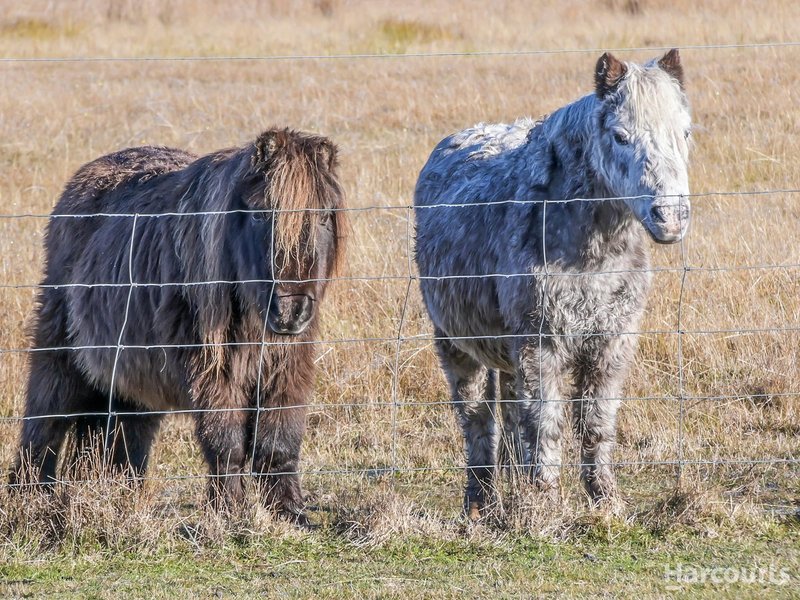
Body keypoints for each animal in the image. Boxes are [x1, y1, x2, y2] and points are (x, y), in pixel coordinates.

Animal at [10, 127, 344, 520]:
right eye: (261, 214)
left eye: (323, 216)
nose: (291, 310)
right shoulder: (213, 371)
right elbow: (227, 444)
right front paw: (230, 514)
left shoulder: (288, 366)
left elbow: (280, 442)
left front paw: (289, 513)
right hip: (59, 350)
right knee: (45, 421)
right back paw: (32, 499)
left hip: (130, 375)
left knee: (123, 438)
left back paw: (119, 499)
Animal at [416, 49, 692, 516]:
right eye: (620, 136)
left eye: (686, 133)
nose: (670, 217)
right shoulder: (540, 343)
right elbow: (545, 423)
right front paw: (545, 503)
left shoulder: (612, 342)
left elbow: (597, 421)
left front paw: (605, 500)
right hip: (456, 343)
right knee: (476, 419)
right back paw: (480, 501)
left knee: (509, 411)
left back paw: (512, 488)